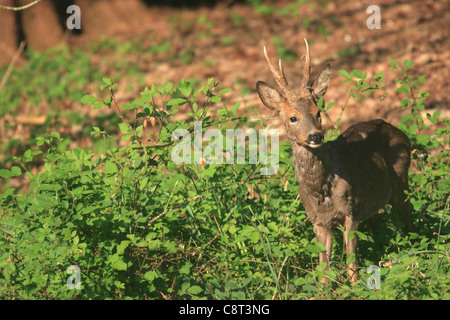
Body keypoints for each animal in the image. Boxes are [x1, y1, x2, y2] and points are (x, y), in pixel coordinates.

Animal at [258, 39, 414, 282]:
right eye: (292, 118)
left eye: (318, 112)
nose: (315, 136)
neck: (322, 190)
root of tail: (399, 131)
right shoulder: (317, 221)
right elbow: (324, 268)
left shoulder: (351, 210)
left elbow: (351, 263)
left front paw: (355, 285)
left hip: (401, 182)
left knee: (410, 219)